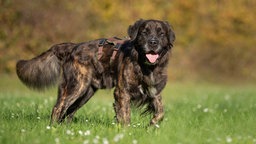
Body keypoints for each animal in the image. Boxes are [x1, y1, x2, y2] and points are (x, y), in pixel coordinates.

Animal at [16, 19, 175, 125]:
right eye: (144, 33)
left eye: (161, 34)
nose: (153, 42)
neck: (145, 67)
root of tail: (72, 47)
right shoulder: (122, 92)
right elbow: (125, 115)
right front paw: (126, 132)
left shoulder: (154, 91)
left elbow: (161, 112)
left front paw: (151, 125)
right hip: (77, 86)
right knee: (58, 107)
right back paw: (53, 128)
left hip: (86, 92)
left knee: (69, 111)